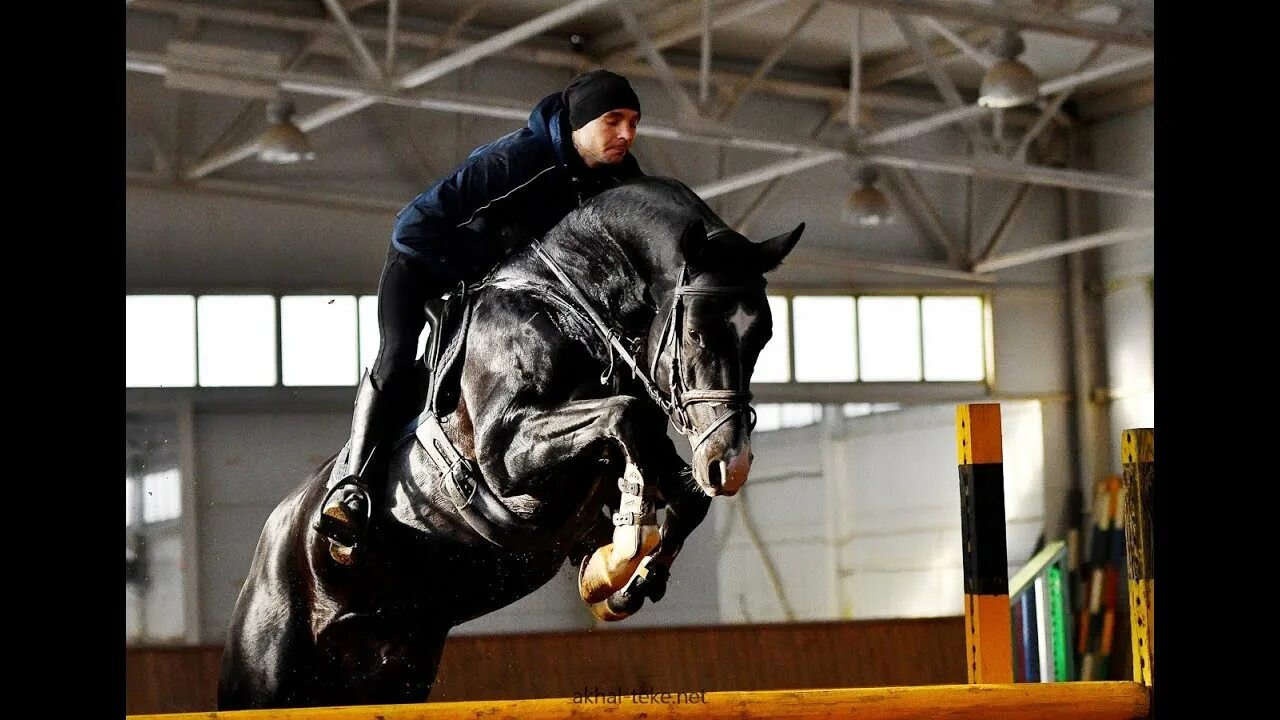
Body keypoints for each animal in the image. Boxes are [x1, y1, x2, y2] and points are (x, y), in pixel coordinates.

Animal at [217, 175, 798, 707]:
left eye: (764, 337)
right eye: (697, 332)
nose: (730, 464)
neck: (574, 308)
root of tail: (266, 552)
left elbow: (679, 491)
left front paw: (622, 579)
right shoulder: (505, 455)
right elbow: (625, 418)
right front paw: (624, 544)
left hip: (391, 672)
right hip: (264, 674)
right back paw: (344, 508)